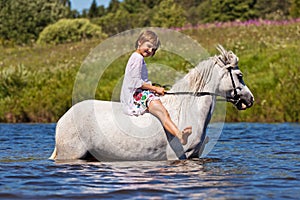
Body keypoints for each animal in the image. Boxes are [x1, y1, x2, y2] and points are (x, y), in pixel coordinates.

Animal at [50, 45, 254, 161]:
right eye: (240, 75)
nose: (249, 100)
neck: (188, 110)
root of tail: (64, 118)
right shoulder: (177, 156)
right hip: (71, 154)